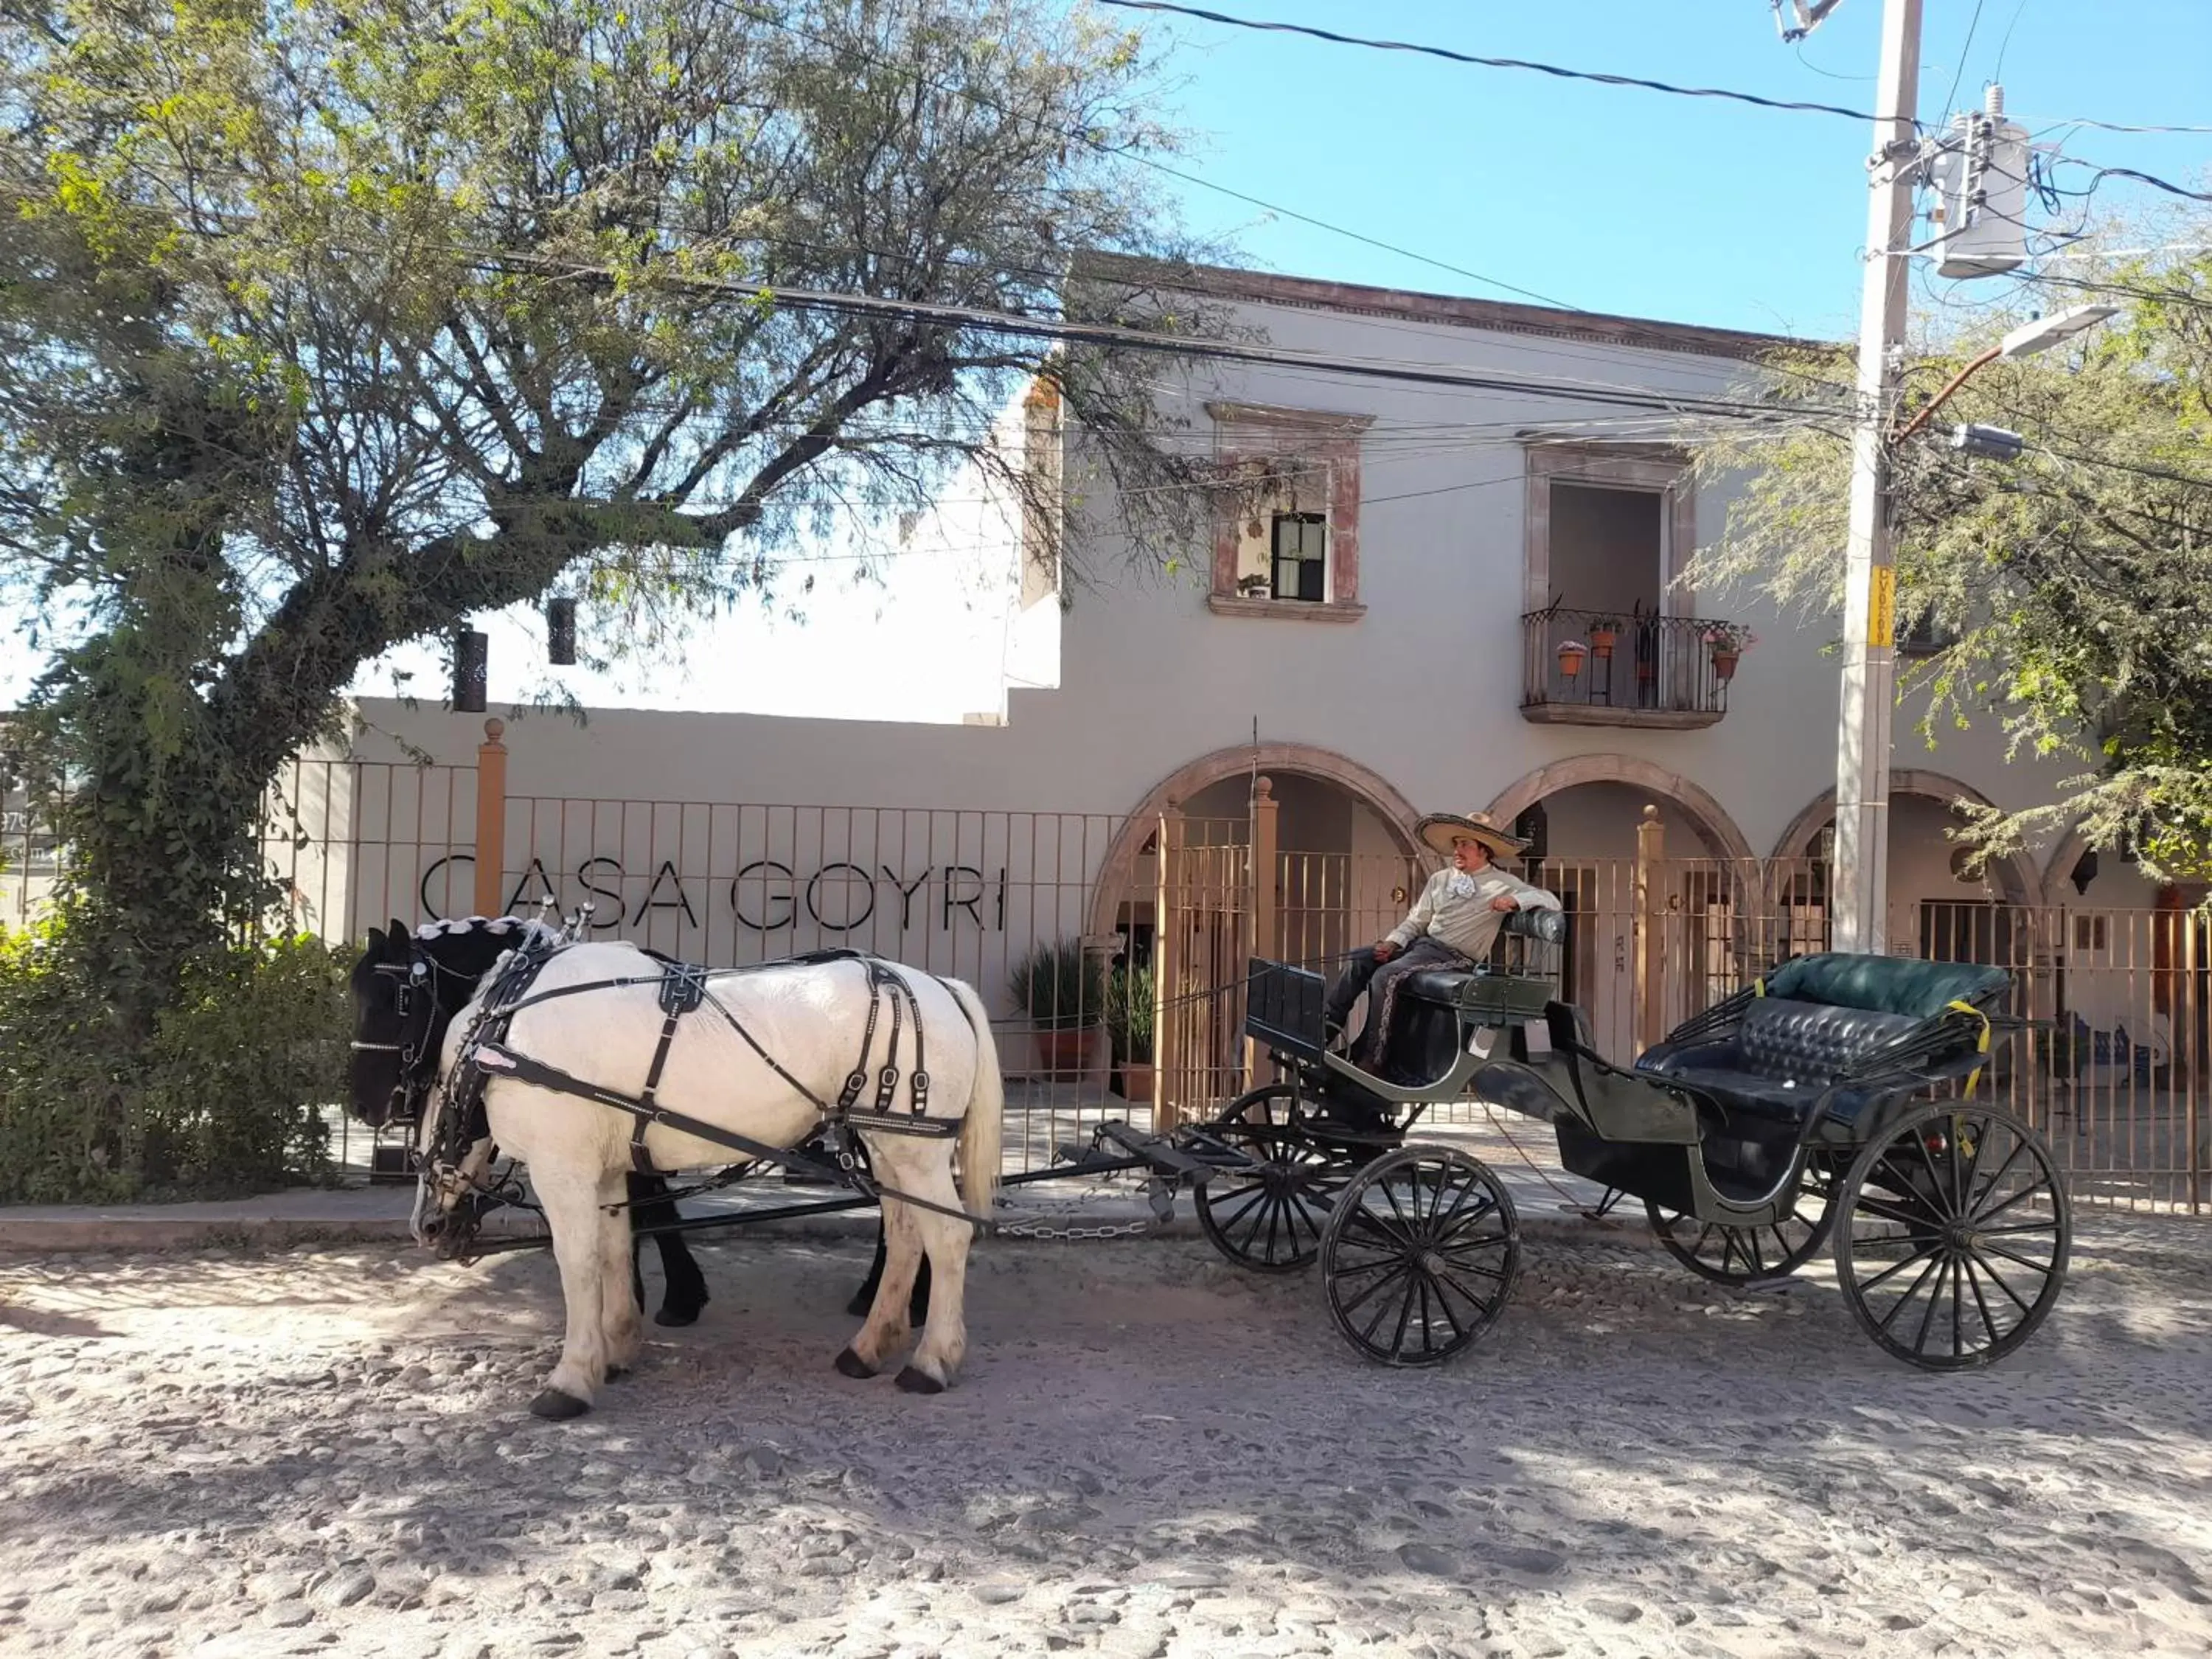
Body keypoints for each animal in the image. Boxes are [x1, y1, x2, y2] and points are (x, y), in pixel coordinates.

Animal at [349, 916, 920, 1336]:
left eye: (396, 998)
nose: (362, 1104)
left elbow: (650, 1205)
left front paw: (667, 1298)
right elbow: (643, 1206)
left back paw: (898, 1300)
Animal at [414, 942, 1004, 1425]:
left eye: (432, 1081)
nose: (428, 1225)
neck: (505, 1034)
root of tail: (941, 987)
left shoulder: (564, 1167)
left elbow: (578, 1264)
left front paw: (572, 1378)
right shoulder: (605, 1169)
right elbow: (614, 1251)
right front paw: (617, 1347)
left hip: (917, 1151)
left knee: (947, 1239)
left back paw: (932, 1361)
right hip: (886, 1146)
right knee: (905, 1237)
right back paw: (870, 1347)